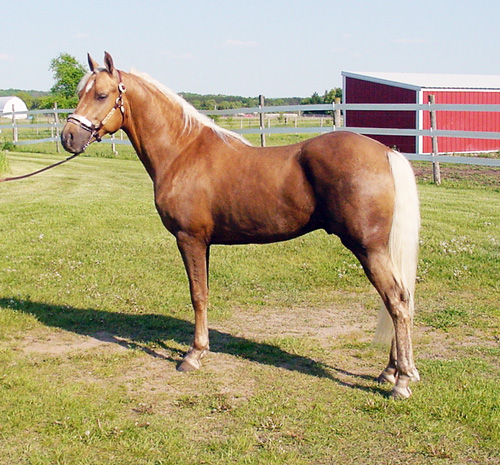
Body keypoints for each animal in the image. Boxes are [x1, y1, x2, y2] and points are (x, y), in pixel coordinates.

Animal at [61, 52, 420, 399]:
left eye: (102, 95)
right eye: (80, 94)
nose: (68, 137)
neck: (182, 151)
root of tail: (386, 152)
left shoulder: (189, 239)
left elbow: (197, 295)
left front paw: (193, 355)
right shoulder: (203, 243)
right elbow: (204, 292)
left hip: (368, 248)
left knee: (397, 300)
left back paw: (401, 381)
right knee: (398, 298)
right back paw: (390, 371)